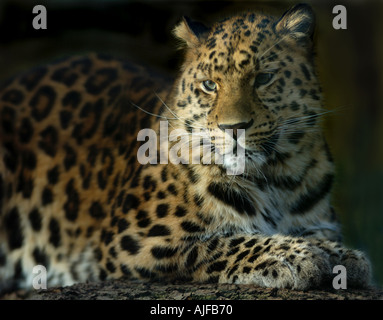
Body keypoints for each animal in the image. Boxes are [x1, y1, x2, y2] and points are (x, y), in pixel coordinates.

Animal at [0, 3, 372, 294]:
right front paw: (293, 255)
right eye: (209, 85)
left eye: (264, 78)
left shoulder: (318, 220)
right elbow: (227, 241)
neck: (272, 177)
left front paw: (341, 255)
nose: (233, 128)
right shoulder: (136, 241)